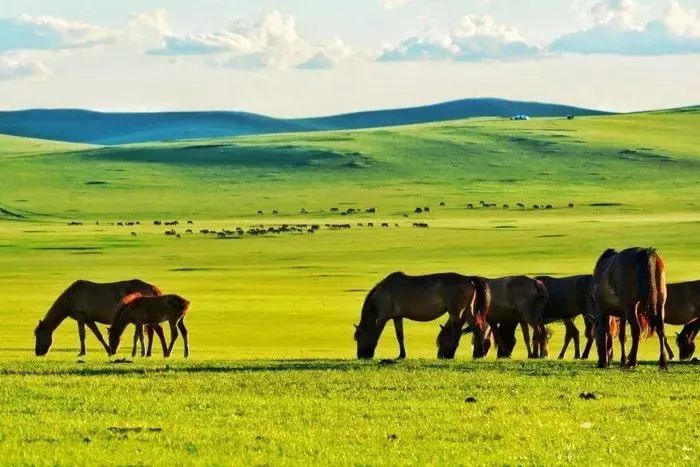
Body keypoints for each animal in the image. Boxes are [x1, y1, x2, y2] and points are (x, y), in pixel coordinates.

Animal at [34, 278, 167, 358]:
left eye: (38, 335)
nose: (38, 353)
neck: (70, 297)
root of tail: (152, 287)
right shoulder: (89, 320)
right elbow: (98, 335)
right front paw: (109, 350)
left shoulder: (81, 317)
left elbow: (82, 335)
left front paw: (82, 352)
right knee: (152, 332)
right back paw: (149, 353)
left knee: (158, 331)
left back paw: (163, 352)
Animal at [352, 272, 490, 360]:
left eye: (358, 338)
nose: (360, 356)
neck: (382, 292)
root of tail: (468, 279)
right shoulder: (397, 317)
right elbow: (400, 336)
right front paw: (402, 355)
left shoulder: (383, 318)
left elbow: (376, 335)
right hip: (467, 311)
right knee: (477, 328)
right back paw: (481, 354)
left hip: (456, 312)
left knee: (456, 332)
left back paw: (451, 354)